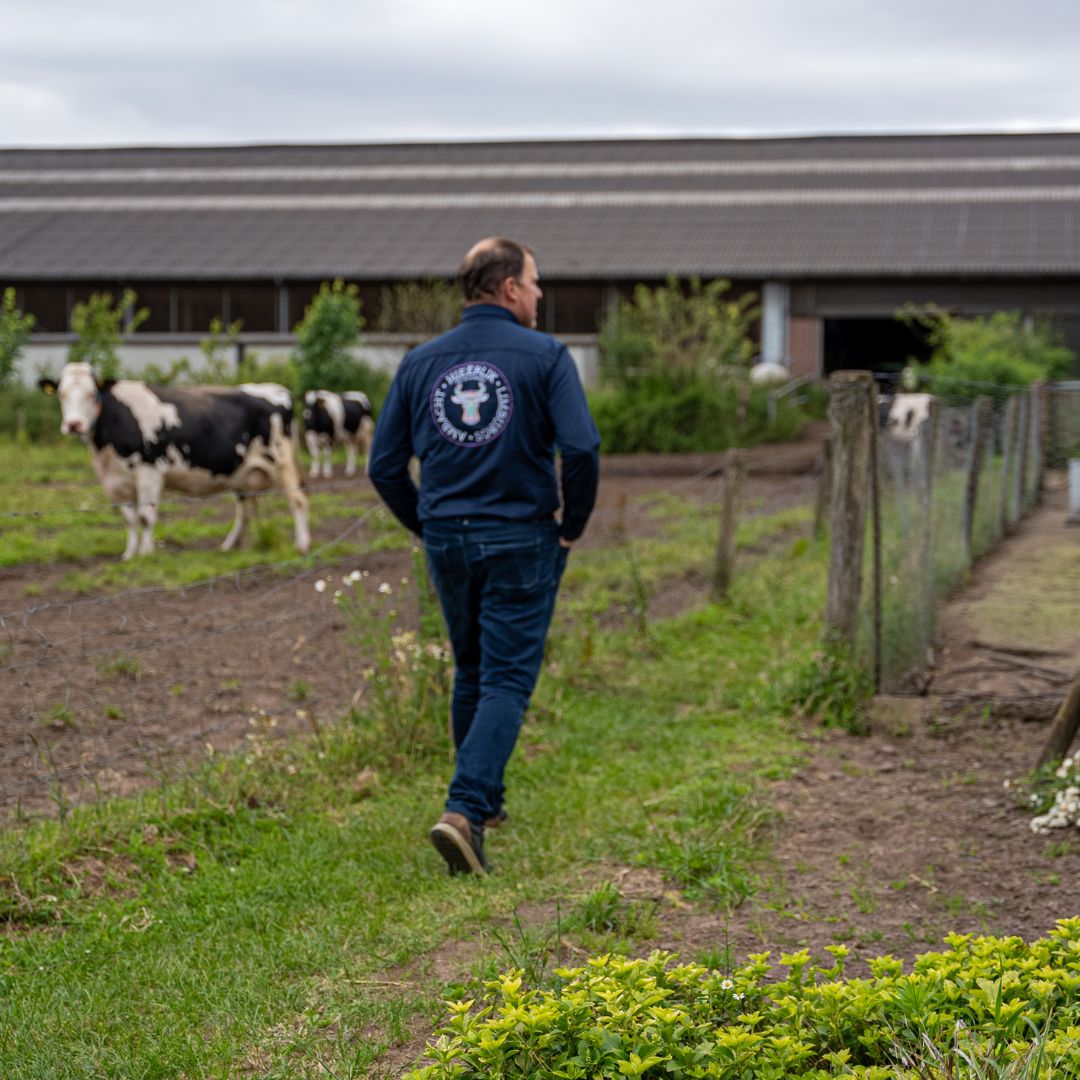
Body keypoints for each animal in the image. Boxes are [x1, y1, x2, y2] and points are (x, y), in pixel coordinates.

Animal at [39, 365, 311, 565]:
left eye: (91, 394)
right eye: (62, 394)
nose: (74, 424)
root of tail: (276, 389)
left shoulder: (149, 471)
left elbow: (145, 516)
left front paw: (146, 555)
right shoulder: (118, 481)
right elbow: (130, 519)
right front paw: (129, 554)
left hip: (281, 462)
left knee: (297, 500)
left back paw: (302, 544)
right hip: (242, 472)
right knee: (245, 509)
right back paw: (229, 546)